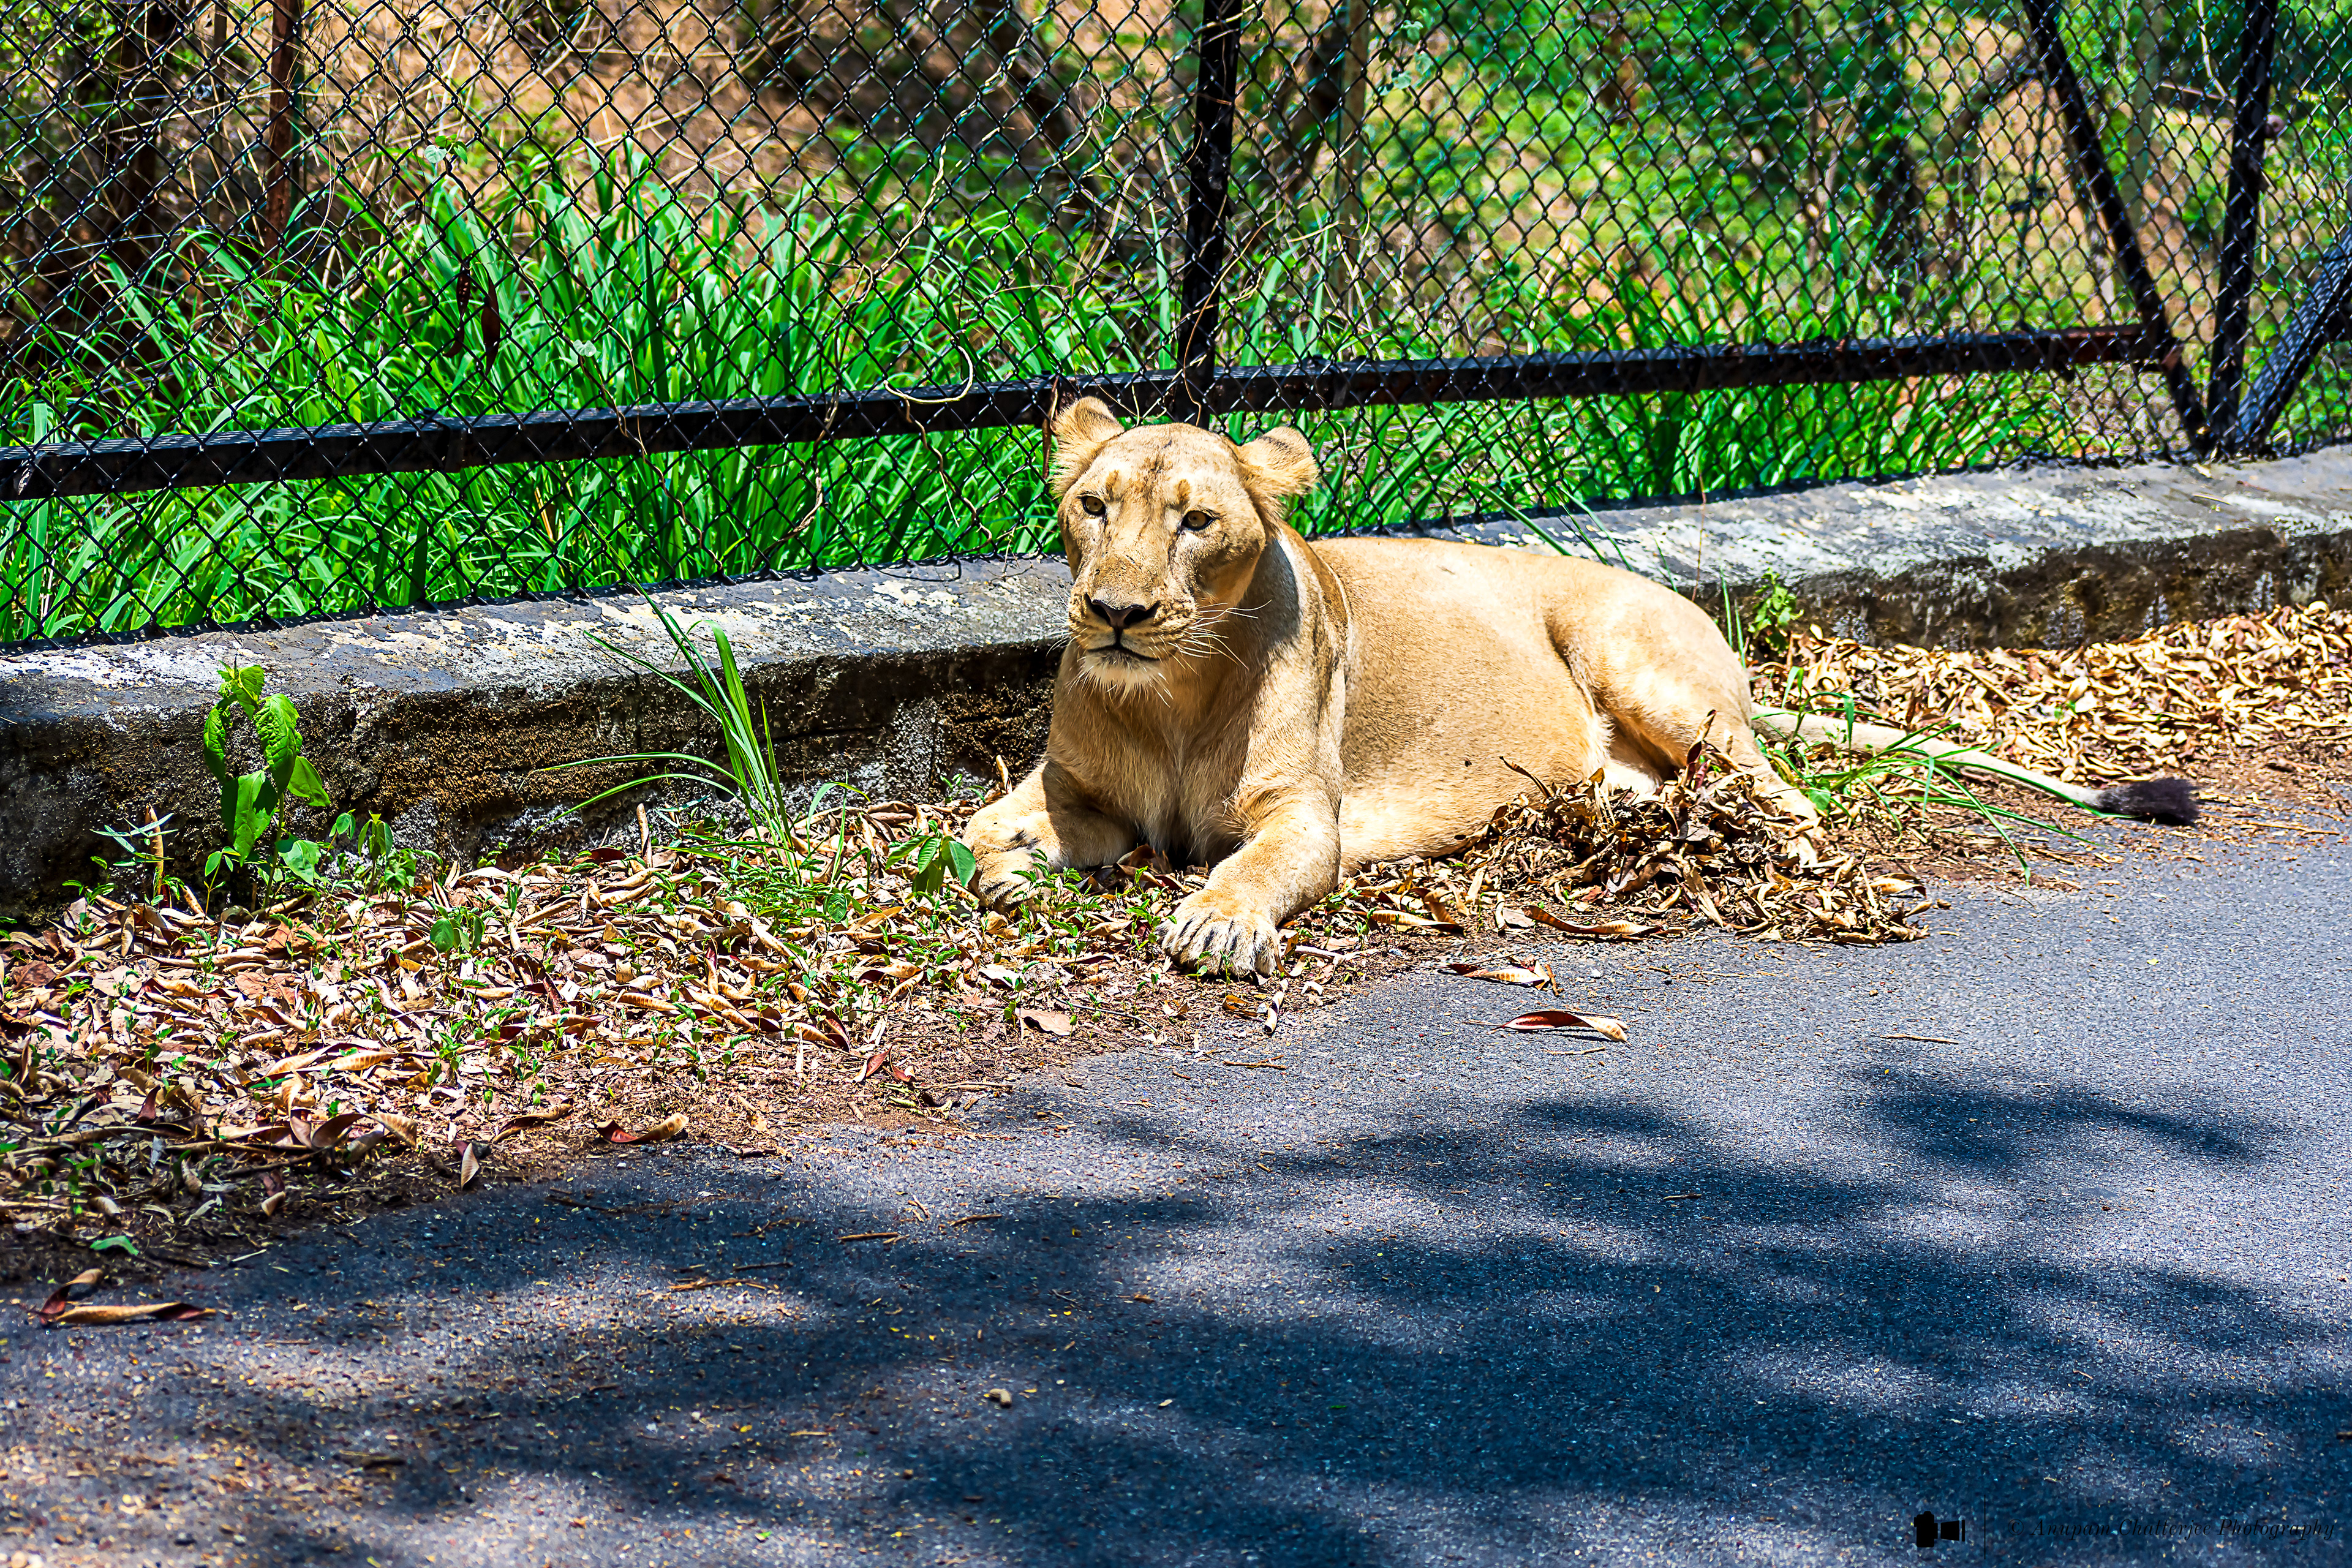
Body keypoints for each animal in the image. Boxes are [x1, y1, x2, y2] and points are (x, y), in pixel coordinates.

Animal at [961, 399, 2197, 972]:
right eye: (1094, 506)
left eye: (1197, 522)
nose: (1116, 613)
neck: (1168, 698)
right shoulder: (1072, 788)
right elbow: (979, 829)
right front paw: (1014, 878)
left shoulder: (1310, 816)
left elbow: (1254, 865)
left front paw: (1215, 924)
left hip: (1640, 658)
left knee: (1794, 797)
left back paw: (1774, 856)